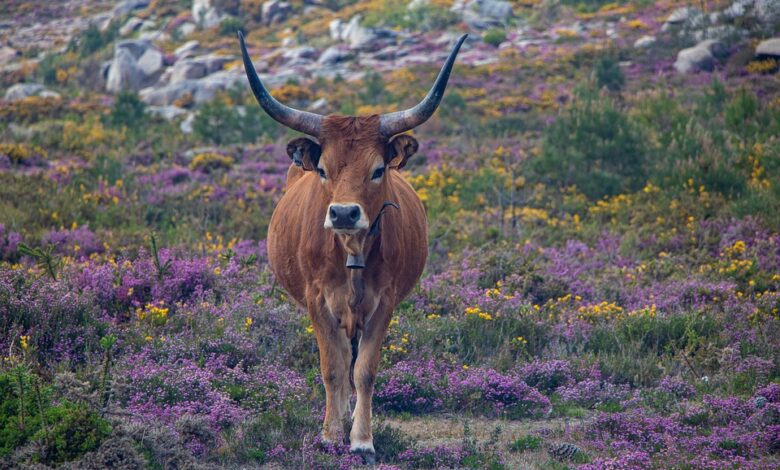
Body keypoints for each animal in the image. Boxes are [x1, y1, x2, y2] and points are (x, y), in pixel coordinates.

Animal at [238, 31, 470, 460]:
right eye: (323, 168)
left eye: (377, 170)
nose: (344, 213)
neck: (352, 251)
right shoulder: (317, 299)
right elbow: (332, 367)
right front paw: (331, 435)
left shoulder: (385, 301)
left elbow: (364, 370)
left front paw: (361, 440)